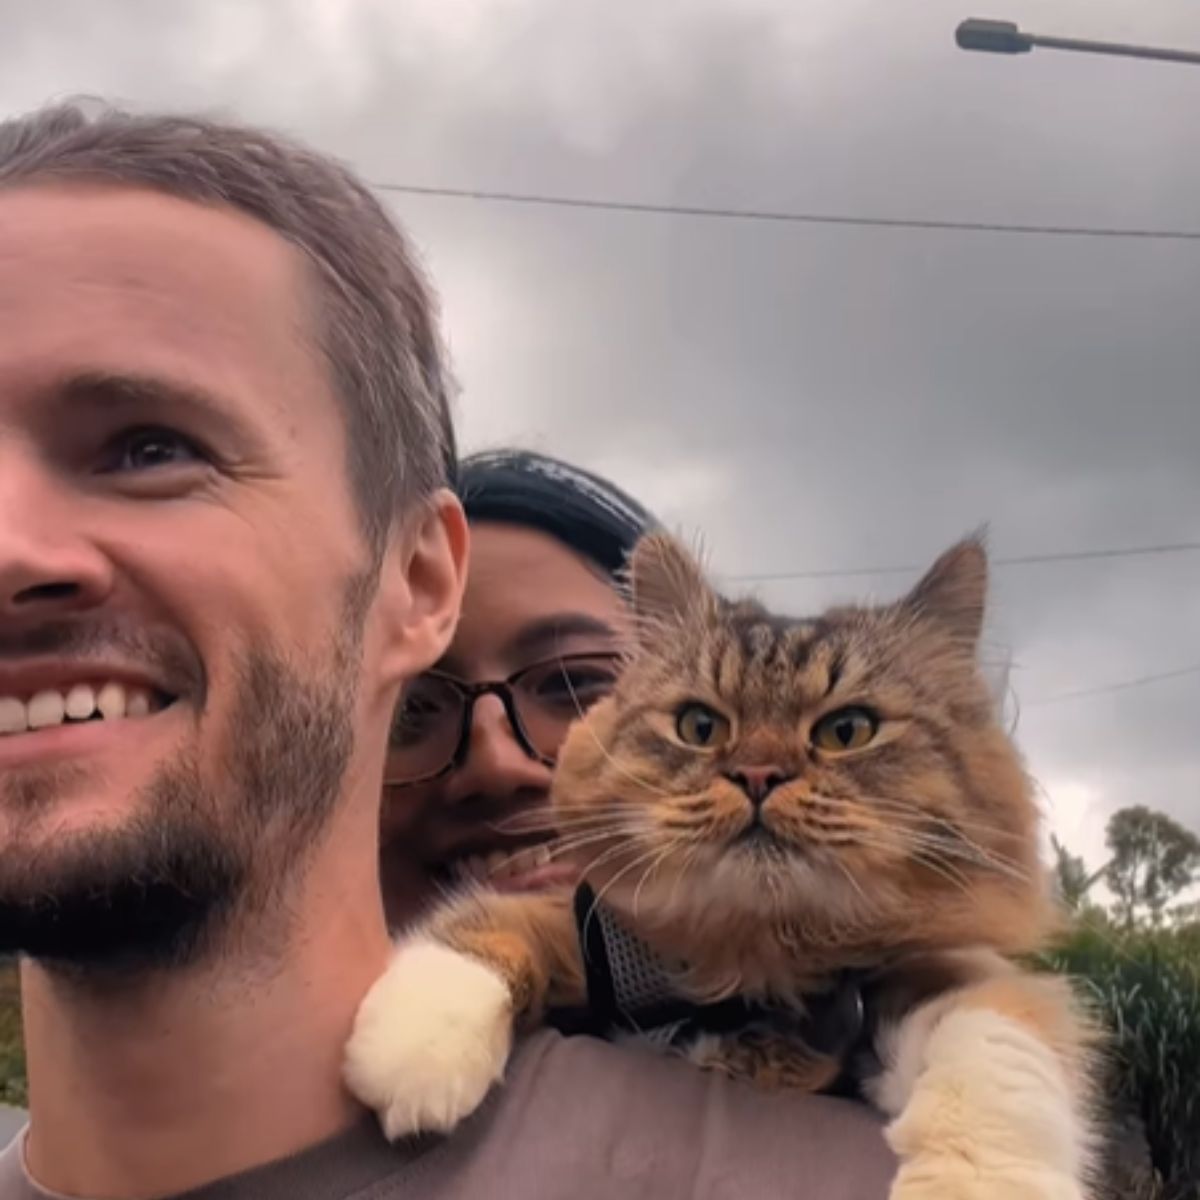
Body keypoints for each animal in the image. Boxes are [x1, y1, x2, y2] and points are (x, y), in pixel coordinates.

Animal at [340, 535, 1099, 1200]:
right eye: (700, 727)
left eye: (846, 731)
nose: (758, 774)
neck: (756, 972)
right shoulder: (602, 933)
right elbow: (510, 922)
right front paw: (418, 1037)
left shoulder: (959, 973)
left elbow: (995, 1042)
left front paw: (980, 1182)